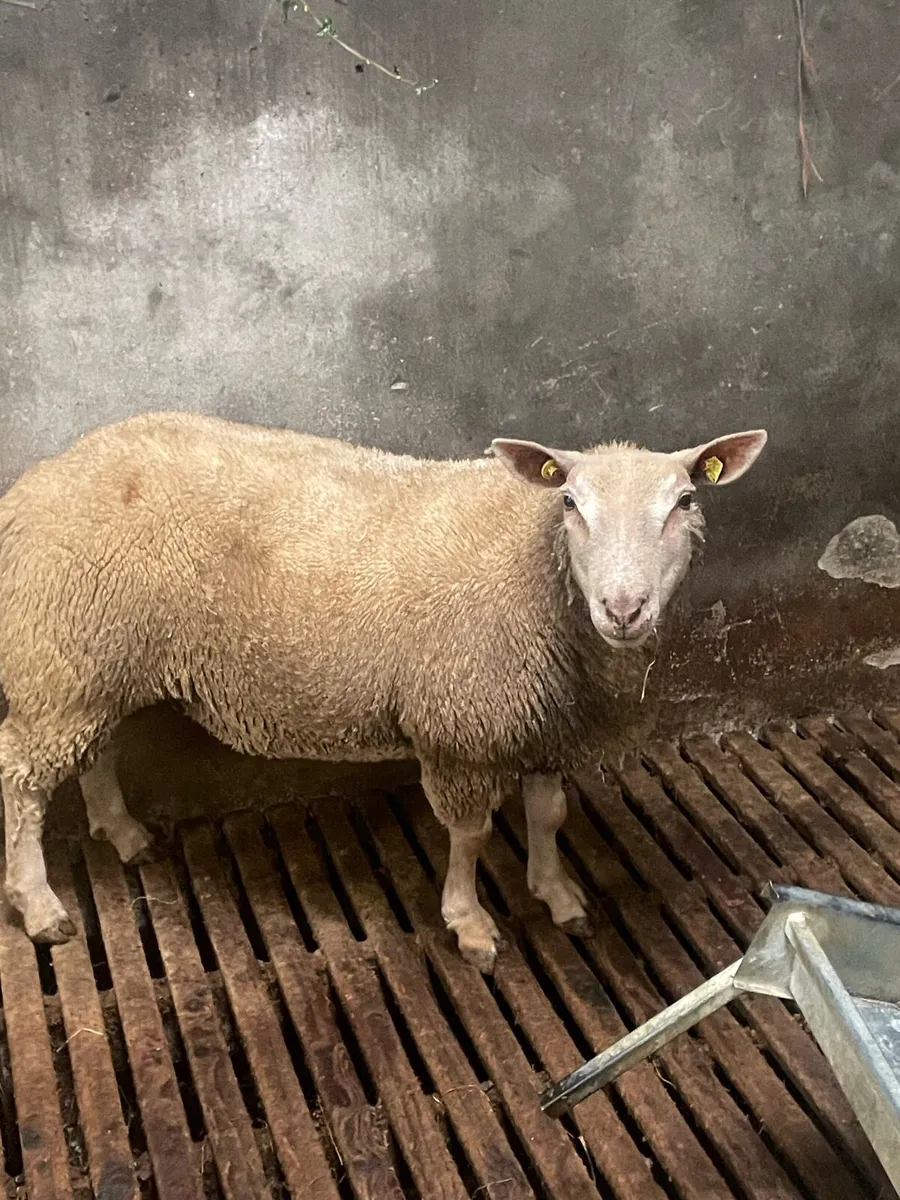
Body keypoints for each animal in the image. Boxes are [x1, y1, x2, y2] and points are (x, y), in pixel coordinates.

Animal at [0, 411, 767, 971]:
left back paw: (124, 834)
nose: (624, 608)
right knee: (21, 780)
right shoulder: (460, 729)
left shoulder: (547, 724)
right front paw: (471, 925)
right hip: (58, 654)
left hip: (90, 660)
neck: (536, 570)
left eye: (686, 501)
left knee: (96, 750)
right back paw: (40, 906)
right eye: (571, 502)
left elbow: (548, 815)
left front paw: (558, 895)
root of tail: (42, 476)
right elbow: (471, 834)